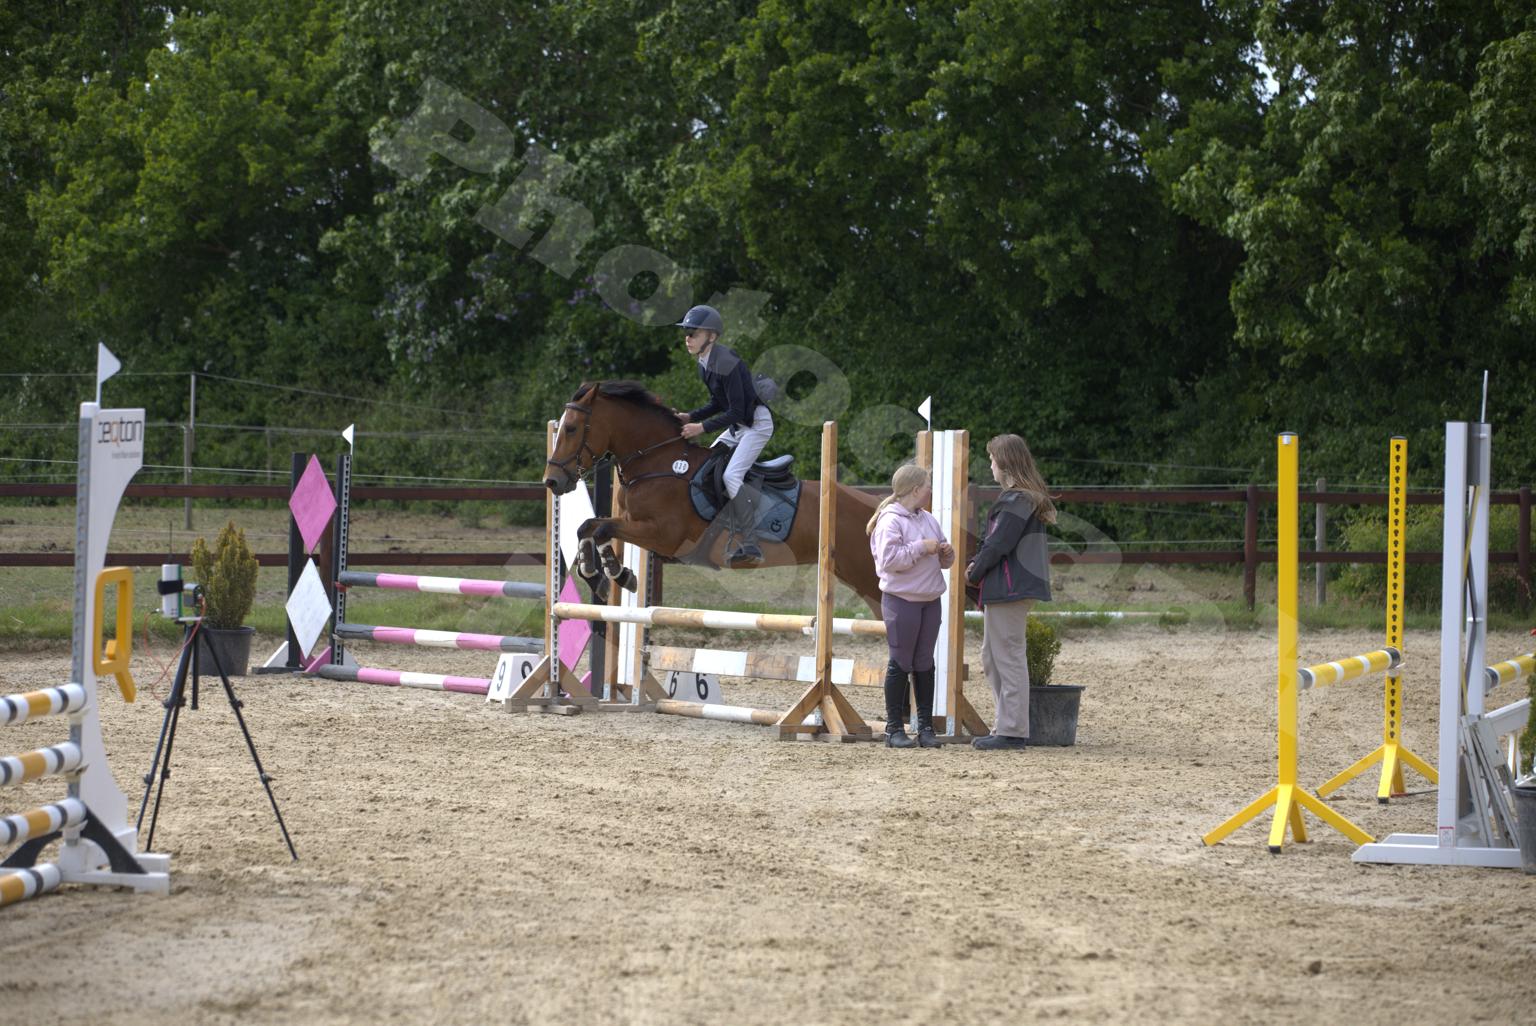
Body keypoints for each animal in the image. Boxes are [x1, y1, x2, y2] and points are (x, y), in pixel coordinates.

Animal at [543, 380, 884, 615]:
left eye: (571, 429)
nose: (552, 481)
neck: (657, 462)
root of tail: (875, 507)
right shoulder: (631, 520)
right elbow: (588, 526)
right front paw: (595, 575)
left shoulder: (663, 535)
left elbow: (602, 528)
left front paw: (619, 574)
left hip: (869, 579)